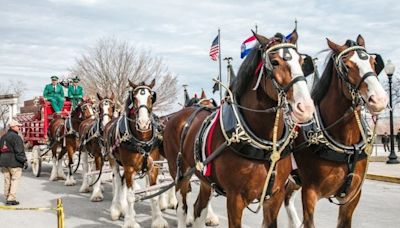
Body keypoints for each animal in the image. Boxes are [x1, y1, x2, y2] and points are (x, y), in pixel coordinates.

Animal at [103, 79, 167, 228]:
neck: (142, 140)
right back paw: (117, 209)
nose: (143, 123)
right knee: (117, 181)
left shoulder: (153, 167)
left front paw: (158, 220)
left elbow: (154, 193)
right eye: (135, 97)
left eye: (151, 97)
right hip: (114, 161)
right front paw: (130, 222)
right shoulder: (129, 168)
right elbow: (130, 196)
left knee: (121, 182)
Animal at [162, 30, 316, 228]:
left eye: (302, 61)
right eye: (274, 62)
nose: (305, 108)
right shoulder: (235, 198)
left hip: (205, 180)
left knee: (198, 209)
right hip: (180, 174)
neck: (265, 144)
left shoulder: (276, 195)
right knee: (182, 208)